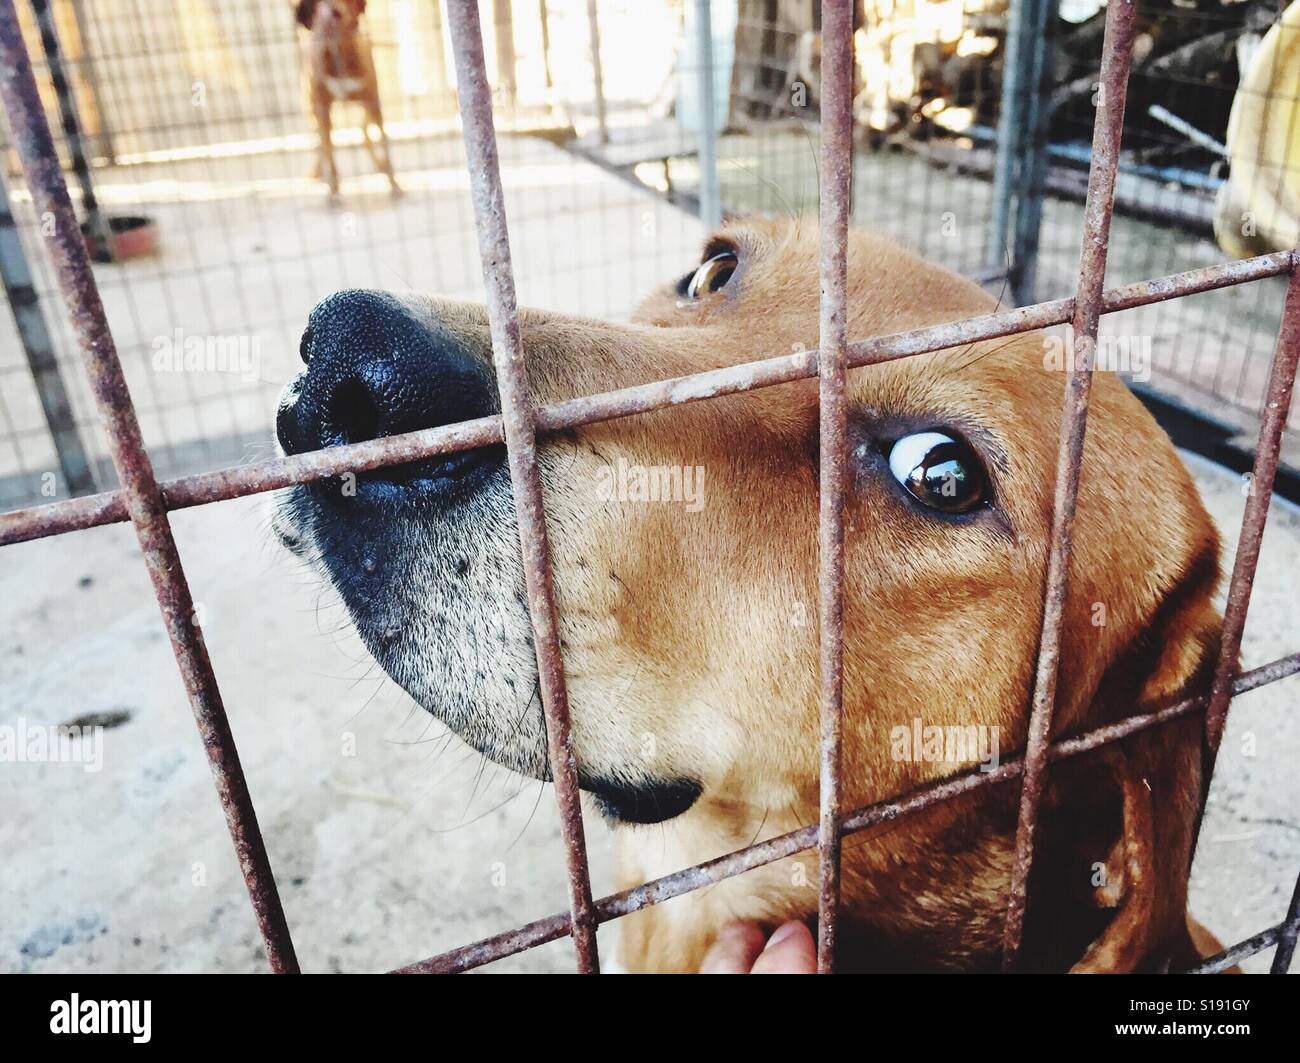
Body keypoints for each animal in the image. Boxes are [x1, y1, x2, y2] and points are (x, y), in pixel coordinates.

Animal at [295, 0, 400, 205]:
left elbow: (384, 145)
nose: (329, 13)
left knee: (363, 134)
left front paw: (394, 185)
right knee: (322, 144)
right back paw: (321, 172)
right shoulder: (322, 109)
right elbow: (327, 150)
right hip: (311, 110)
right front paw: (333, 191)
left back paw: (379, 164)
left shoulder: (373, 101)